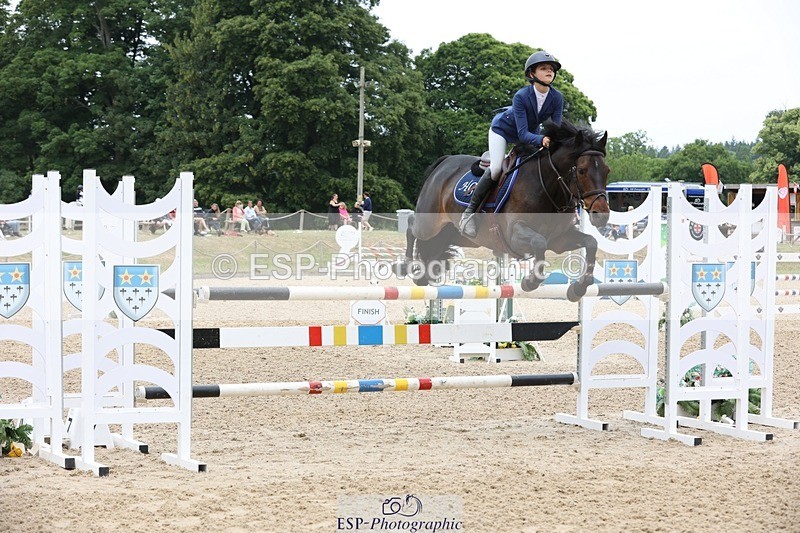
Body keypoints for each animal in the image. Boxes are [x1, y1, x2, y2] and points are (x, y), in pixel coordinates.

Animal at [397, 119, 610, 302]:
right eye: (581, 170)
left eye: (607, 171)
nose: (602, 215)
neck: (548, 188)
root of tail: (444, 163)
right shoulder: (515, 234)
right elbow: (539, 243)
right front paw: (530, 281)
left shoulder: (559, 239)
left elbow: (591, 243)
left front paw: (580, 287)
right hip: (429, 224)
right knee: (412, 226)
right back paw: (405, 265)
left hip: (455, 235)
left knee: (433, 249)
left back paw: (424, 275)